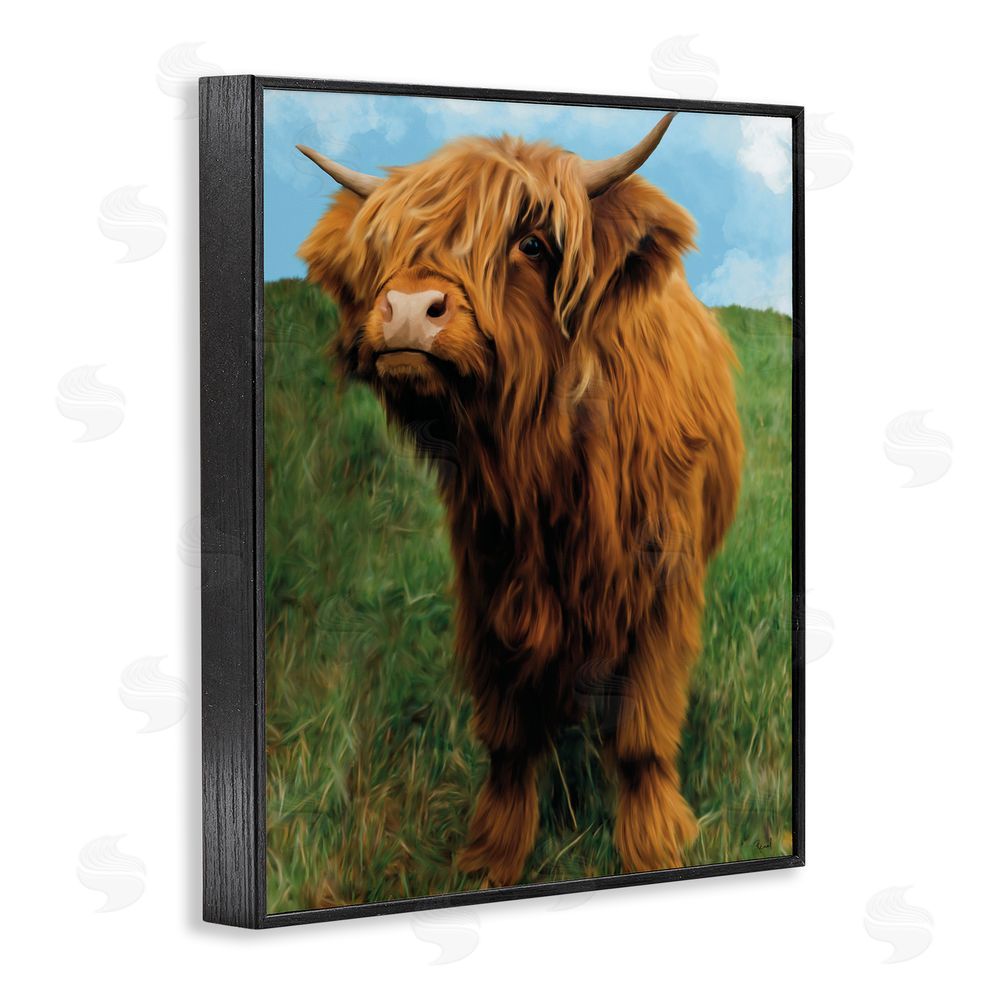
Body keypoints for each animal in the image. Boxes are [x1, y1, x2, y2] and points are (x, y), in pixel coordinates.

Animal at [297, 110, 743, 887]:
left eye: (531, 243)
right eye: (387, 245)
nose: (408, 310)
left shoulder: (664, 584)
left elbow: (643, 731)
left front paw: (654, 845)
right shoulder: (488, 577)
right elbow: (506, 734)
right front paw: (492, 856)